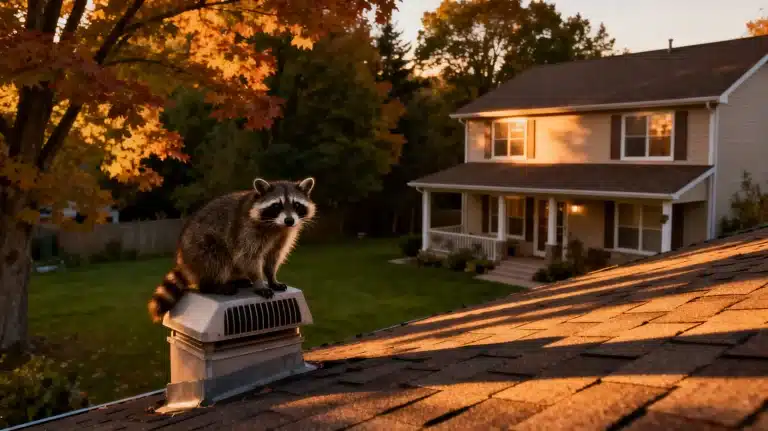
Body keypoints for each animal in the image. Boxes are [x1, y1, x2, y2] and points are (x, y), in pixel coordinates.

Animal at [147, 177, 316, 323]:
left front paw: (272, 277)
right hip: (200, 247)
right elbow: (248, 257)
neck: (276, 226)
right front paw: (259, 282)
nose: (289, 220)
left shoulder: (283, 236)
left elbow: (273, 257)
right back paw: (212, 285)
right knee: (217, 259)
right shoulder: (246, 231)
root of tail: (184, 260)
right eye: (276, 206)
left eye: (296, 205)